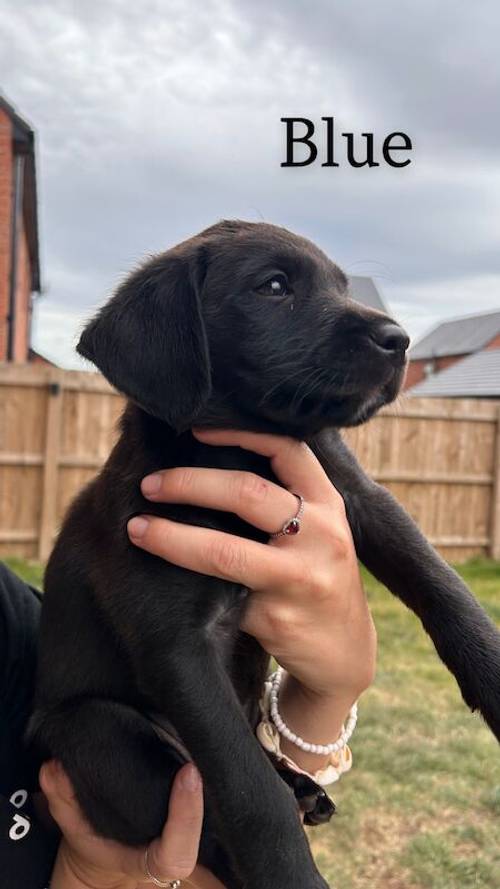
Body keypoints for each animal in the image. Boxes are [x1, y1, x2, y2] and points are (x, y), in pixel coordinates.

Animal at [30, 220, 500, 888]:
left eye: (341, 286)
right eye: (274, 287)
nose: (400, 340)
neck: (241, 456)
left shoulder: (360, 499)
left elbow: (445, 587)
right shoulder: (178, 643)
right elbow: (251, 794)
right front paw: (291, 872)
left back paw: (305, 786)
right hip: (95, 728)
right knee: (203, 813)